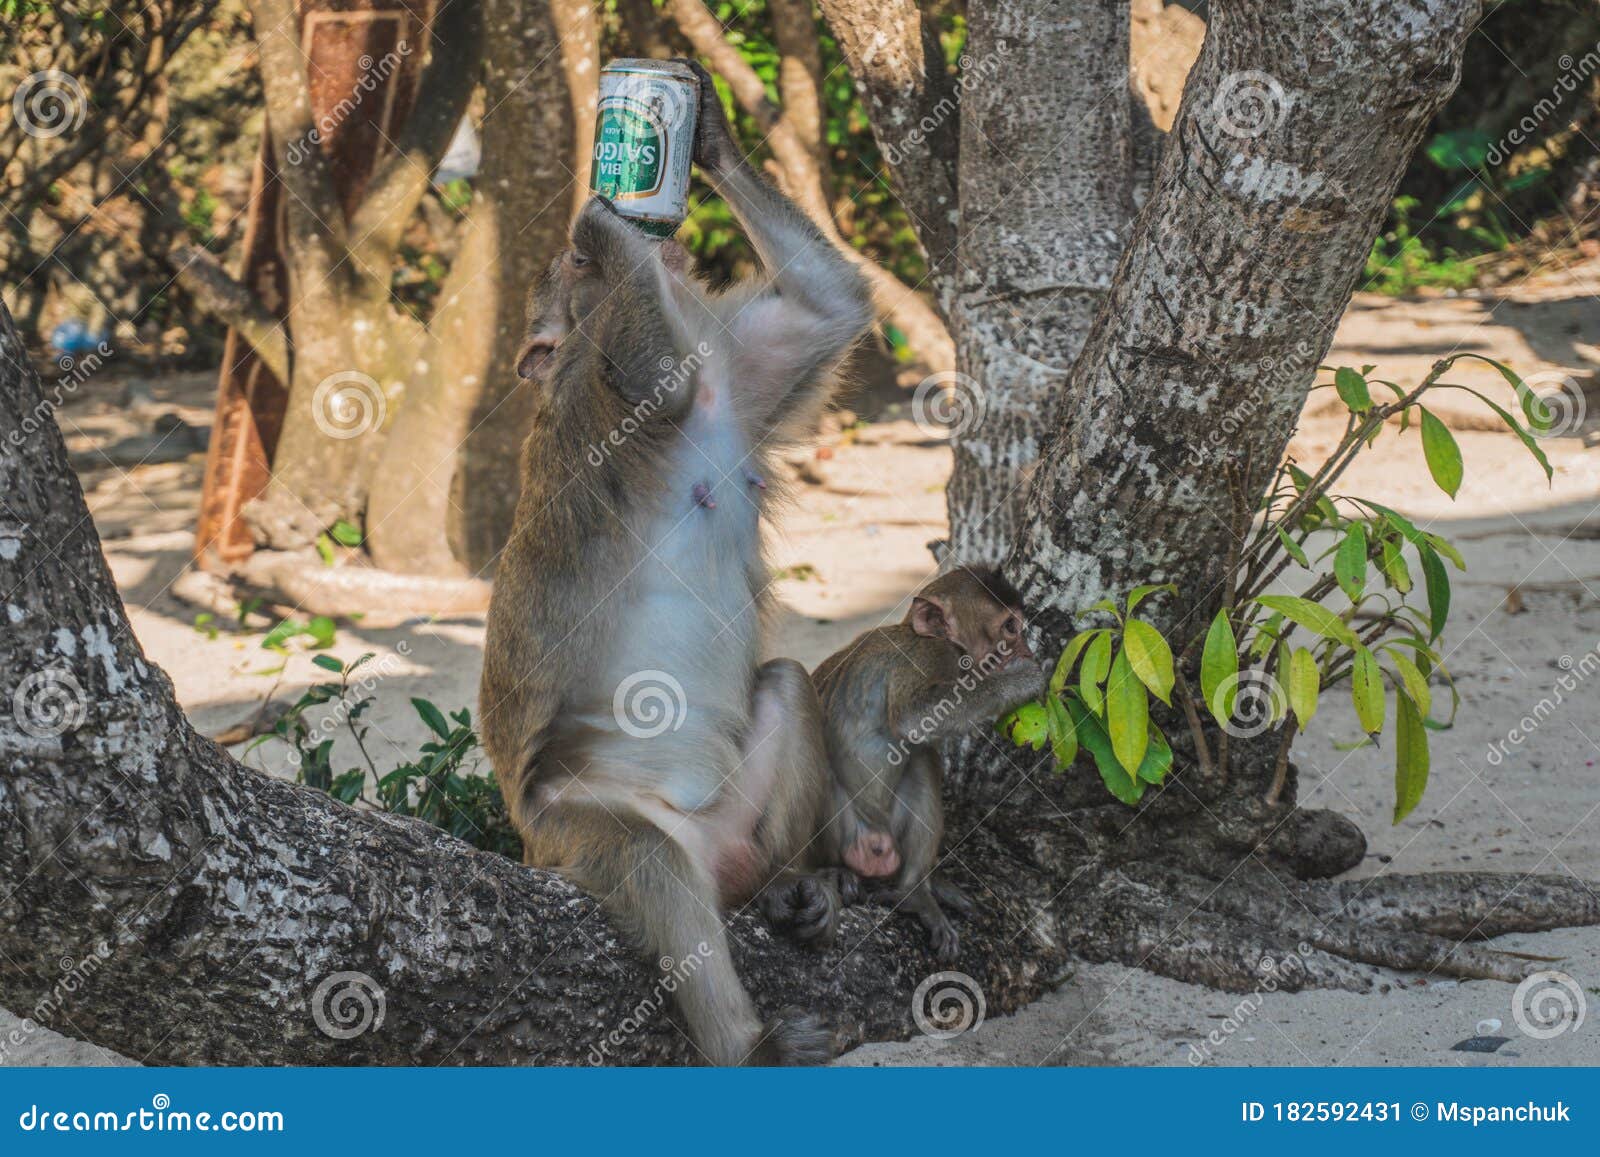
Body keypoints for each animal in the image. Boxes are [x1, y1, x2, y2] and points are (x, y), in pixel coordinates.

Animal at [479, 59, 873, 1066]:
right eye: (576, 274)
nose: (589, 251)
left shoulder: (738, 375)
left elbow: (831, 308)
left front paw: (710, 133)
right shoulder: (595, 401)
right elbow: (656, 374)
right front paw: (615, 220)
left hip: (736, 814)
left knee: (786, 687)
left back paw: (795, 885)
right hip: (567, 830)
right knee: (648, 861)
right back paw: (748, 1042)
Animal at [811, 566, 1045, 962]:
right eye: (1010, 628)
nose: (1028, 650)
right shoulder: (932, 656)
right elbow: (914, 716)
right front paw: (1019, 680)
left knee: (921, 759)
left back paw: (915, 890)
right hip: (845, 833)